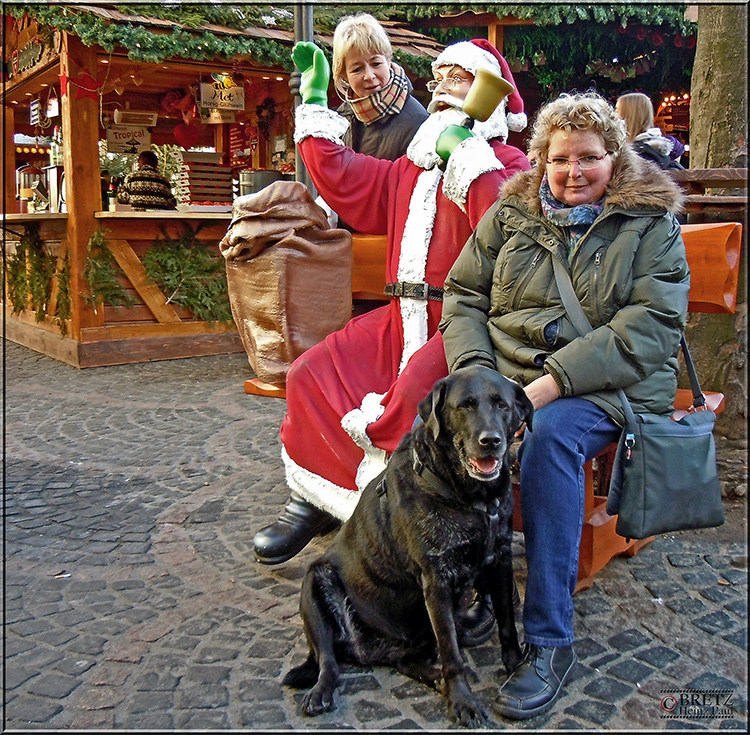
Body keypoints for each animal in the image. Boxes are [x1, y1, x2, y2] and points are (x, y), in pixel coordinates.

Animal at [282, 366, 536, 728]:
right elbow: (452, 653)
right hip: (316, 581)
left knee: (406, 661)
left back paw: (434, 677)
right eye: (465, 405)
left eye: (502, 405)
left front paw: (516, 668)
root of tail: (367, 649)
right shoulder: (436, 581)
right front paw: (463, 702)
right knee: (328, 661)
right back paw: (321, 692)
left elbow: (507, 625)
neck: (471, 499)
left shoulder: (498, 562)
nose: (491, 441)